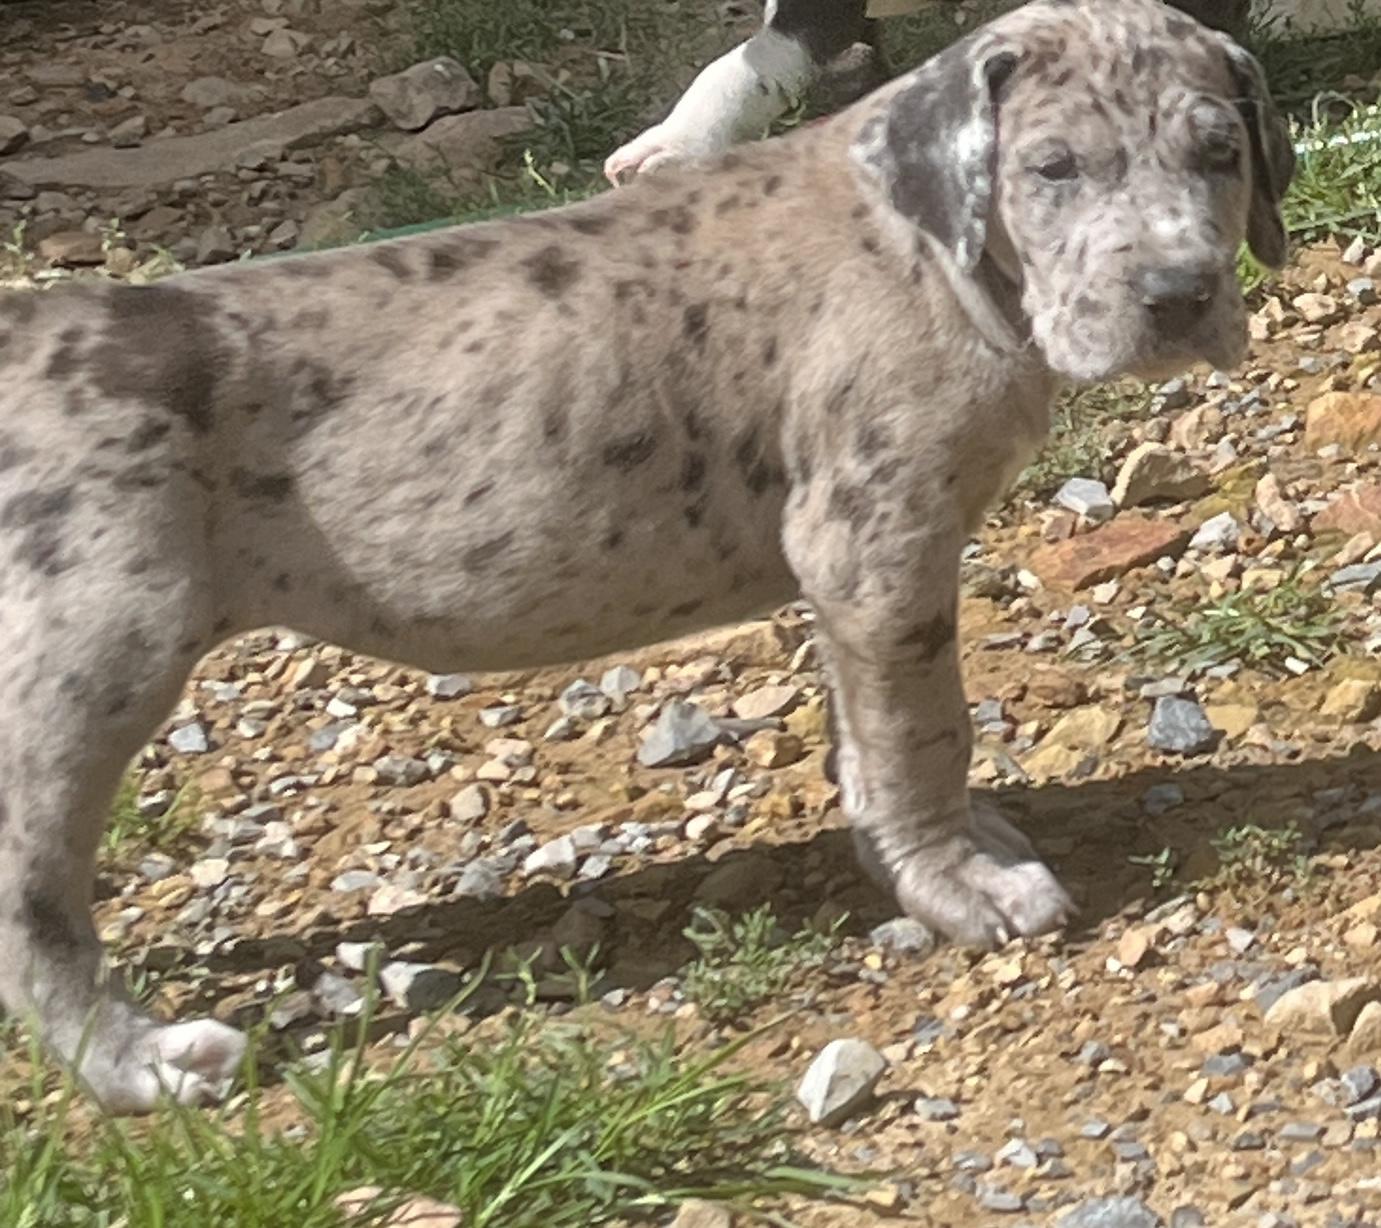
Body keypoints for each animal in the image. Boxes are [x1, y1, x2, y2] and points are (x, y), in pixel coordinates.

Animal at [0, 0, 1292, 1114]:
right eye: (1052, 168)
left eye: (1219, 152)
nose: (1177, 294)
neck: (931, 247)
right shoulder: (877, 544)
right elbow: (923, 732)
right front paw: (956, 882)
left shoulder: (855, 583)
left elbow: (870, 739)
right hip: (90, 660)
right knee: (32, 900)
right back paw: (138, 1062)